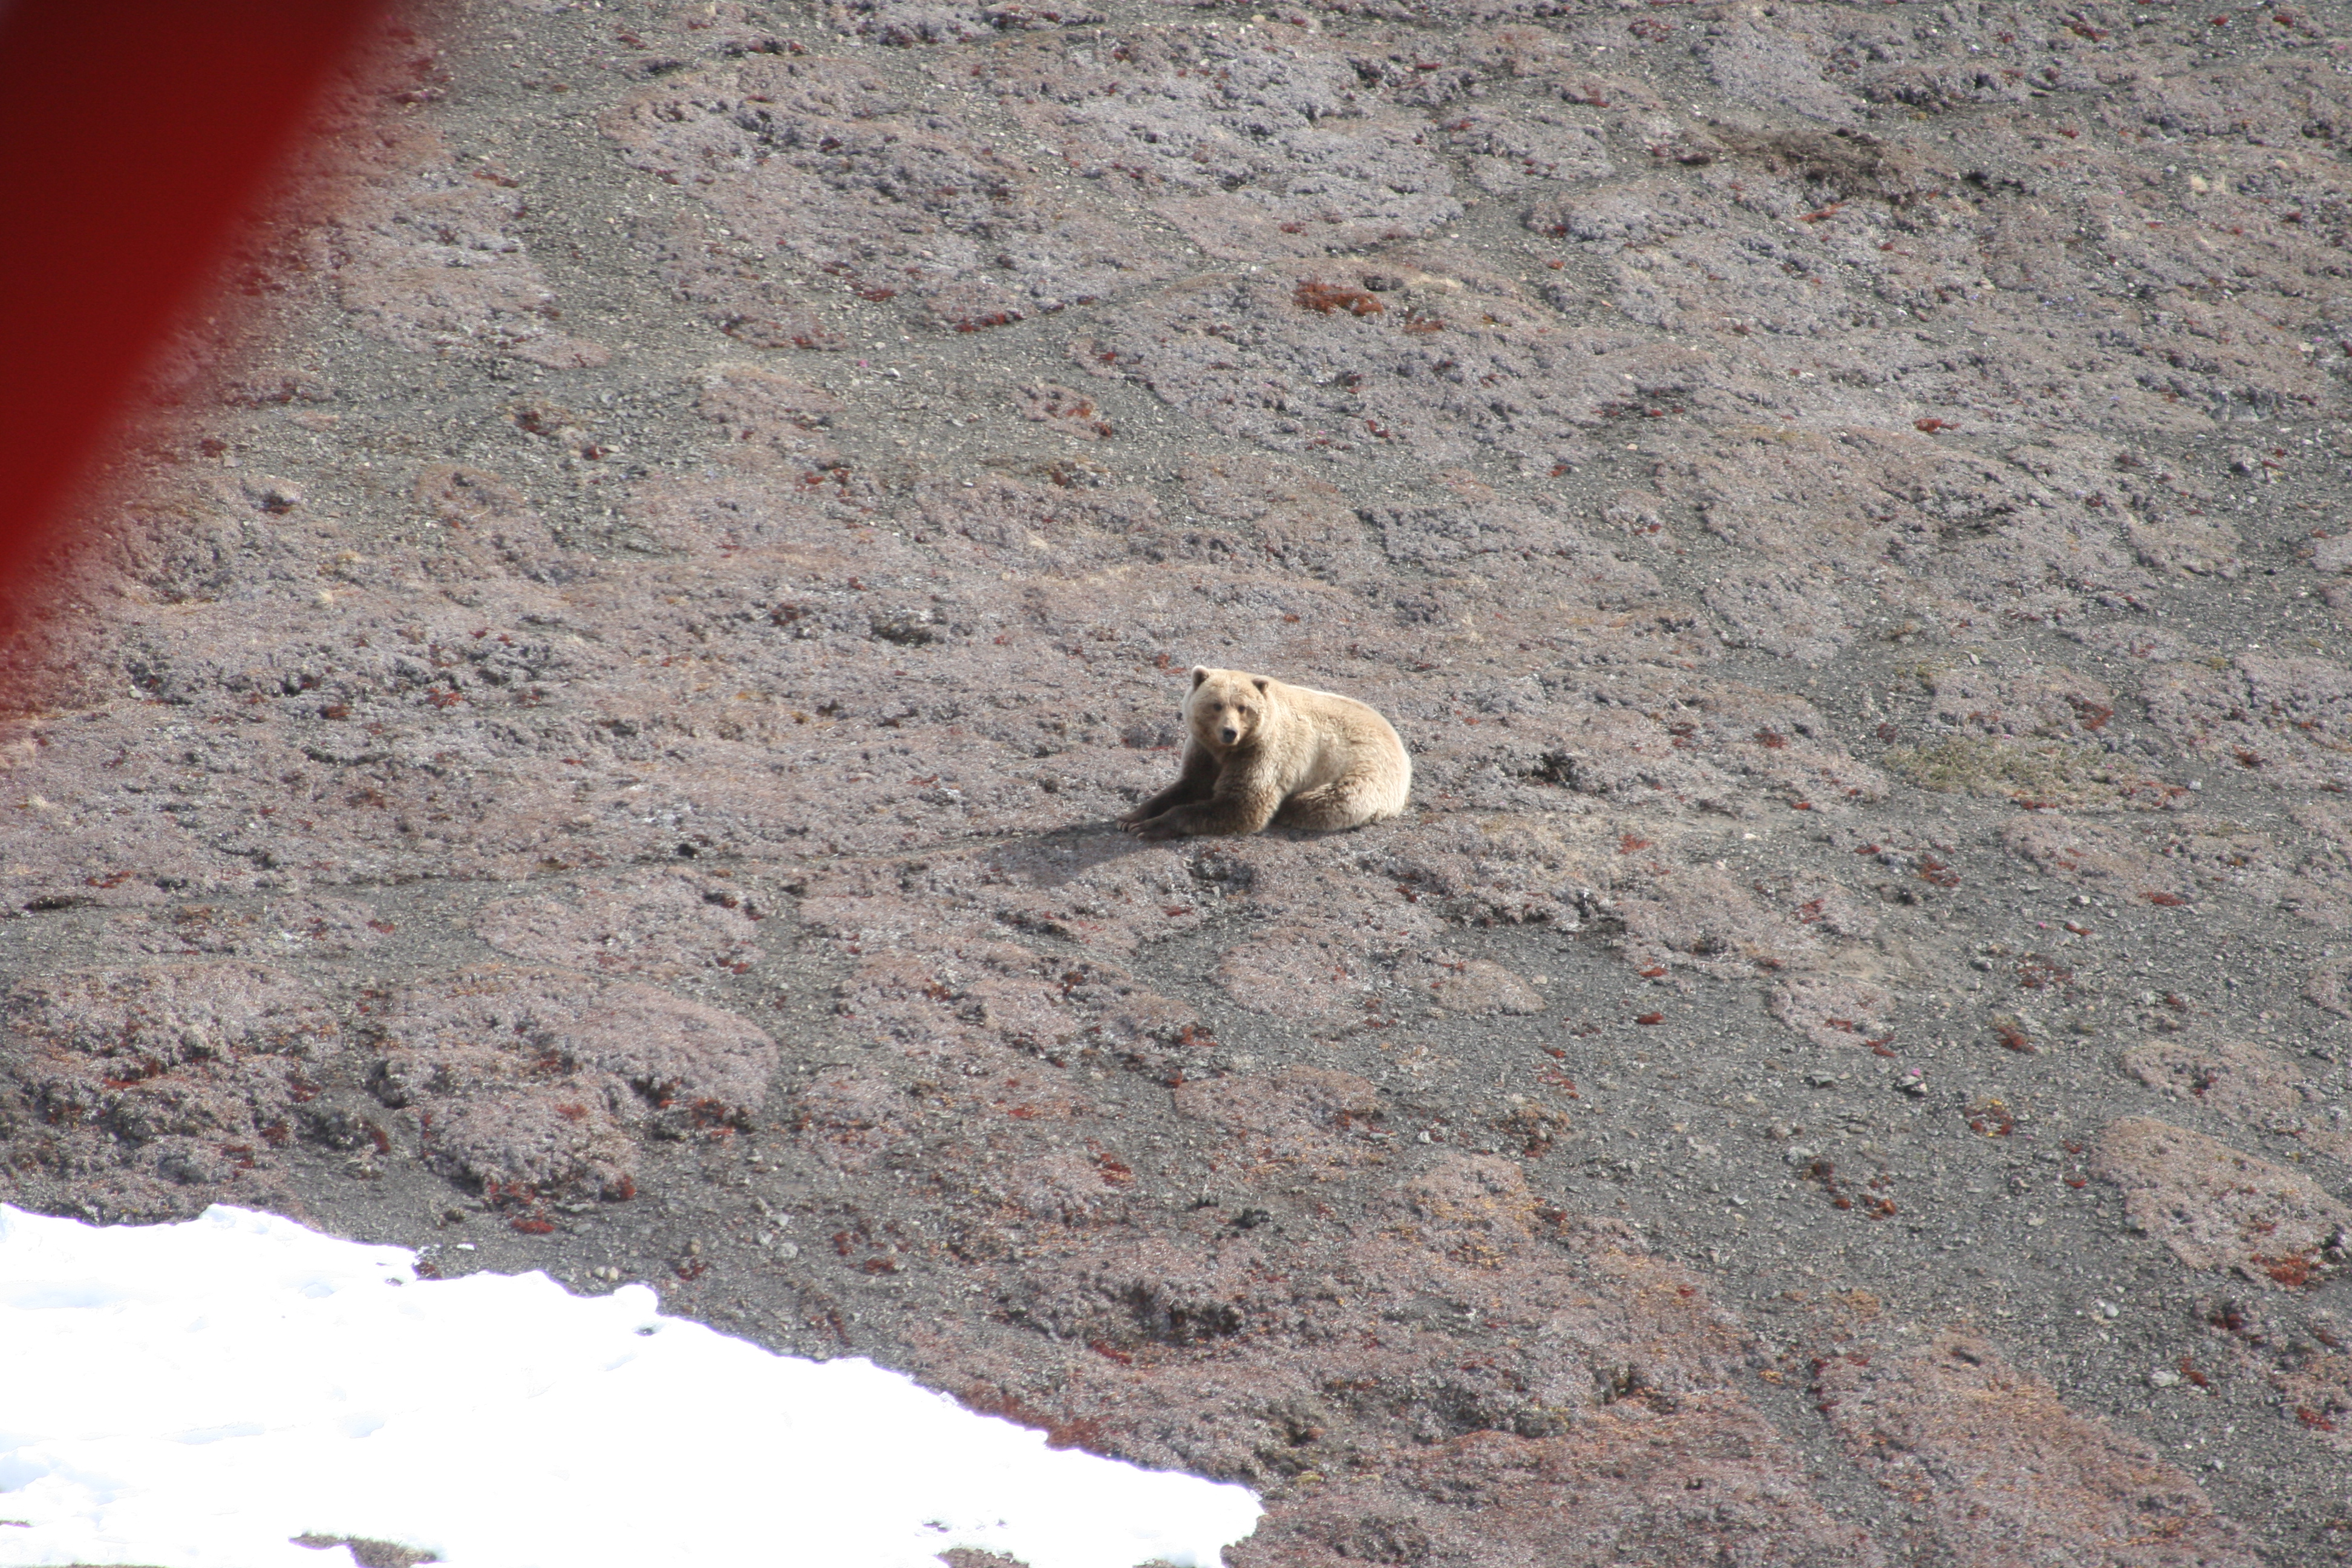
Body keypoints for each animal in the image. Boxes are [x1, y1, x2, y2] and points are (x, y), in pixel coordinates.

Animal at [1110, 667, 1402, 841]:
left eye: (1243, 707)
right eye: (1216, 705)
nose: (1229, 732)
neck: (1225, 751)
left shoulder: (1261, 753)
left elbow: (1242, 804)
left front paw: (1149, 827)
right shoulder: (1203, 750)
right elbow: (1187, 785)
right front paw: (1130, 819)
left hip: (1366, 773)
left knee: (1326, 802)